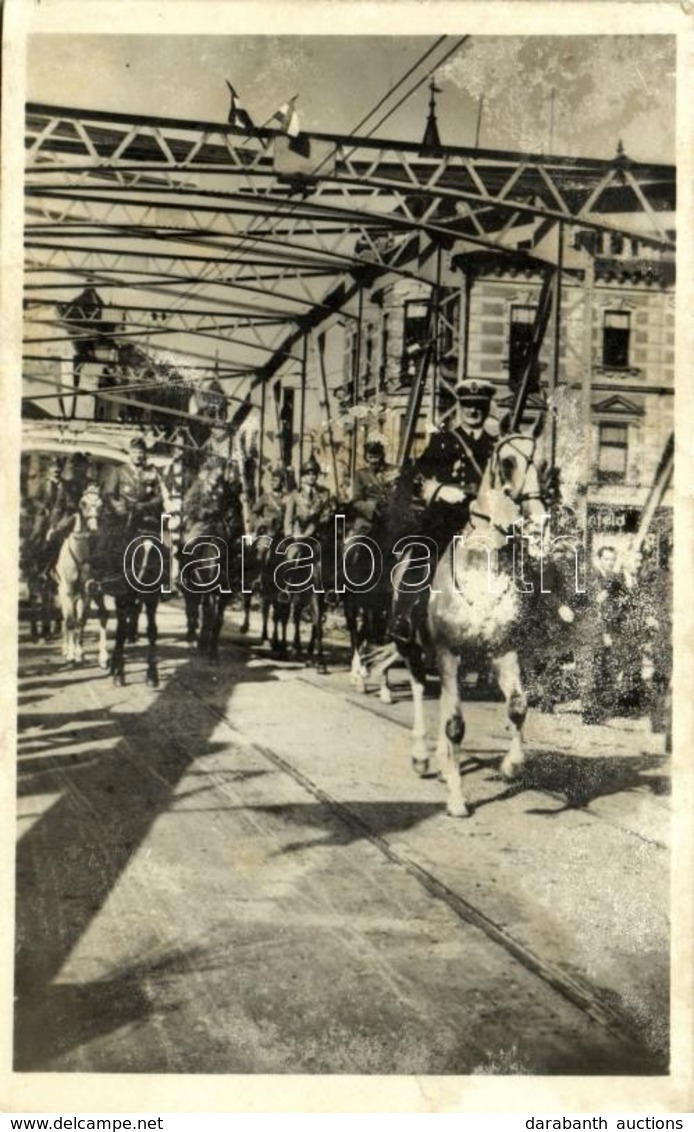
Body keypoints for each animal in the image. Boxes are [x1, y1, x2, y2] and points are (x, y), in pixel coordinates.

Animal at [400, 432, 545, 815]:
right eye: (507, 462)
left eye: (543, 463)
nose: (539, 522)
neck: (482, 567)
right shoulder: (448, 651)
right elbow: (455, 724)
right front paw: (456, 798)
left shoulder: (503, 649)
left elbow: (518, 707)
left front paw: (511, 766)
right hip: (412, 646)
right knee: (419, 688)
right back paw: (421, 756)